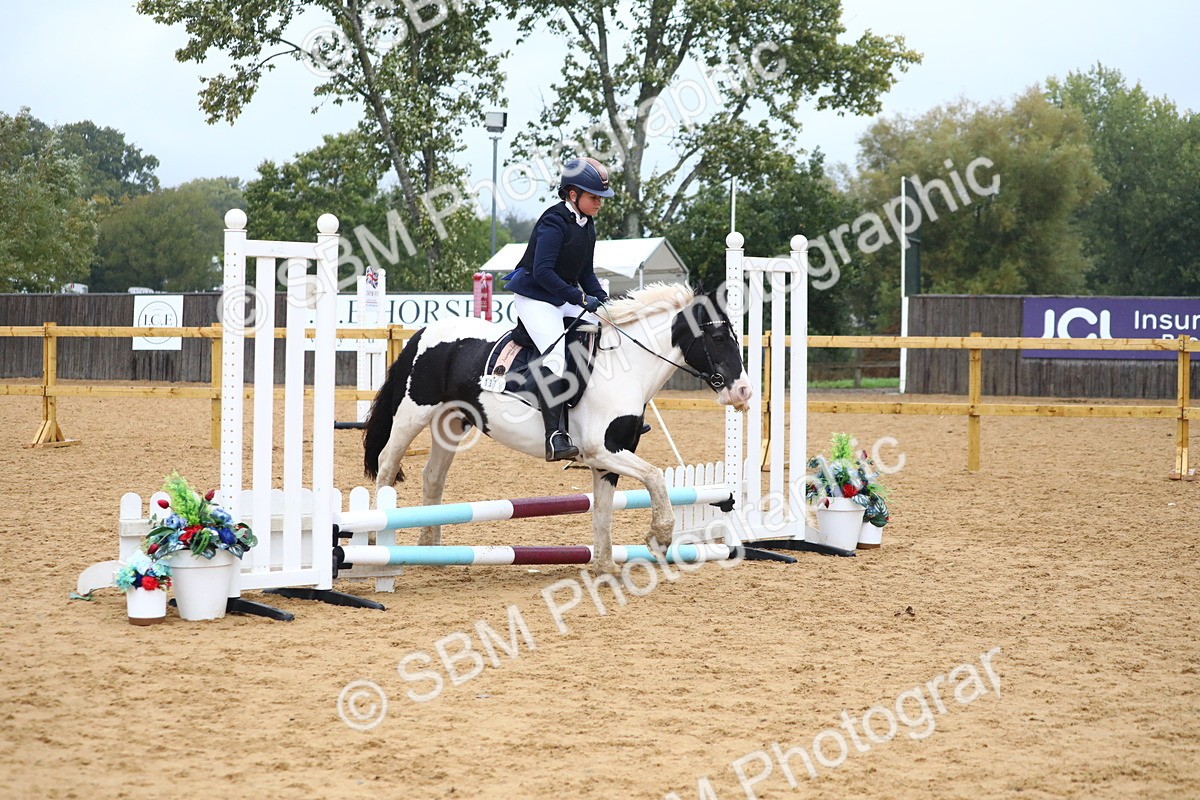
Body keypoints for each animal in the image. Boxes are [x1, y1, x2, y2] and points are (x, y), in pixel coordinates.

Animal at [362, 283, 752, 572]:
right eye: (719, 338)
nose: (743, 391)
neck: (625, 368)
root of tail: (425, 332)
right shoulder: (603, 449)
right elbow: (655, 477)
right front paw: (659, 537)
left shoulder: (608, 459)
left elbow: (604, 512)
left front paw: (605, 566)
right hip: (413, 413)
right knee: (387, 464)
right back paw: (376, 538)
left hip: (452, 422)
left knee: (433, 477)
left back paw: (431, 549)